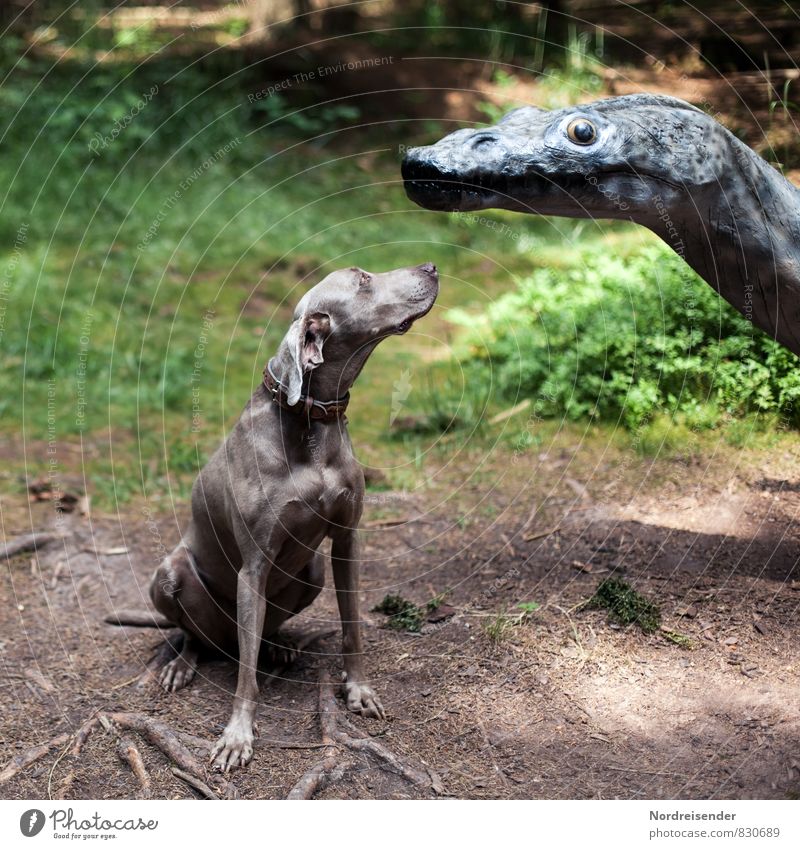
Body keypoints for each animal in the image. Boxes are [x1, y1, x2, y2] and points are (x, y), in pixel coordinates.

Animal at [148, 262, 440, 772]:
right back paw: (183, 663)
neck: (311, 421)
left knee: (259, 632)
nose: (431, 267)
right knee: (198, 636)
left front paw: (358, 690)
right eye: (363, 279)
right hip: (168, 575)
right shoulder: (254, 566)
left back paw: (277, 646)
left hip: (313, 571)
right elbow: (245, 678)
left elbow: (352, 627)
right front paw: (237, 735)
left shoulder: (347, 542)